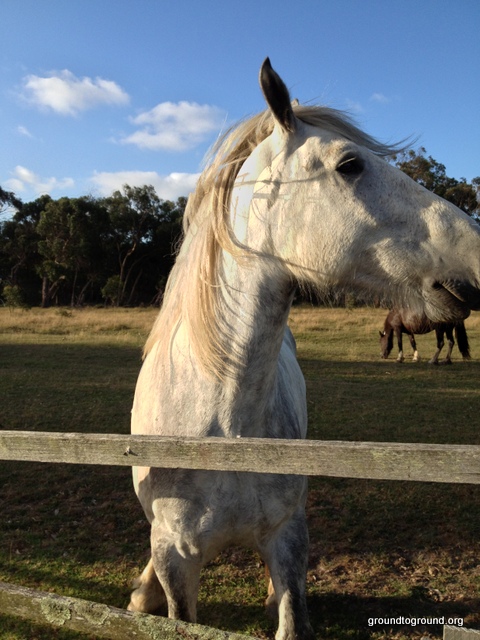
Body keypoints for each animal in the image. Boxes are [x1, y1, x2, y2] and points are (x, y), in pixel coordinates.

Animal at [128, 58, 480, 640]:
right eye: (350, 165)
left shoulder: (289, 539)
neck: (224, 431)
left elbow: (292, 615)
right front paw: (147, 595)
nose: (478, 252)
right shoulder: (177, 558)